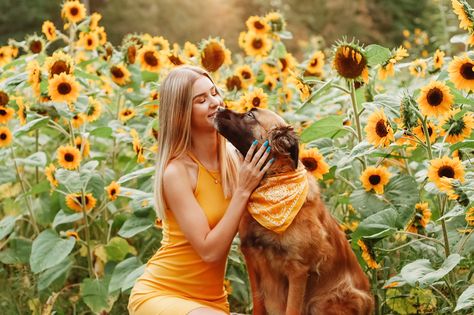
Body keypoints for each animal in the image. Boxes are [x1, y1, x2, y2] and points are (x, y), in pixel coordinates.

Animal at [214, 107, 374, 314]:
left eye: (250, 115)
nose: (218, 108)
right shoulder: (252, 259)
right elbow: (258, 305)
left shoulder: (298, 271)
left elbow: (292, 308)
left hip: (329, 300)